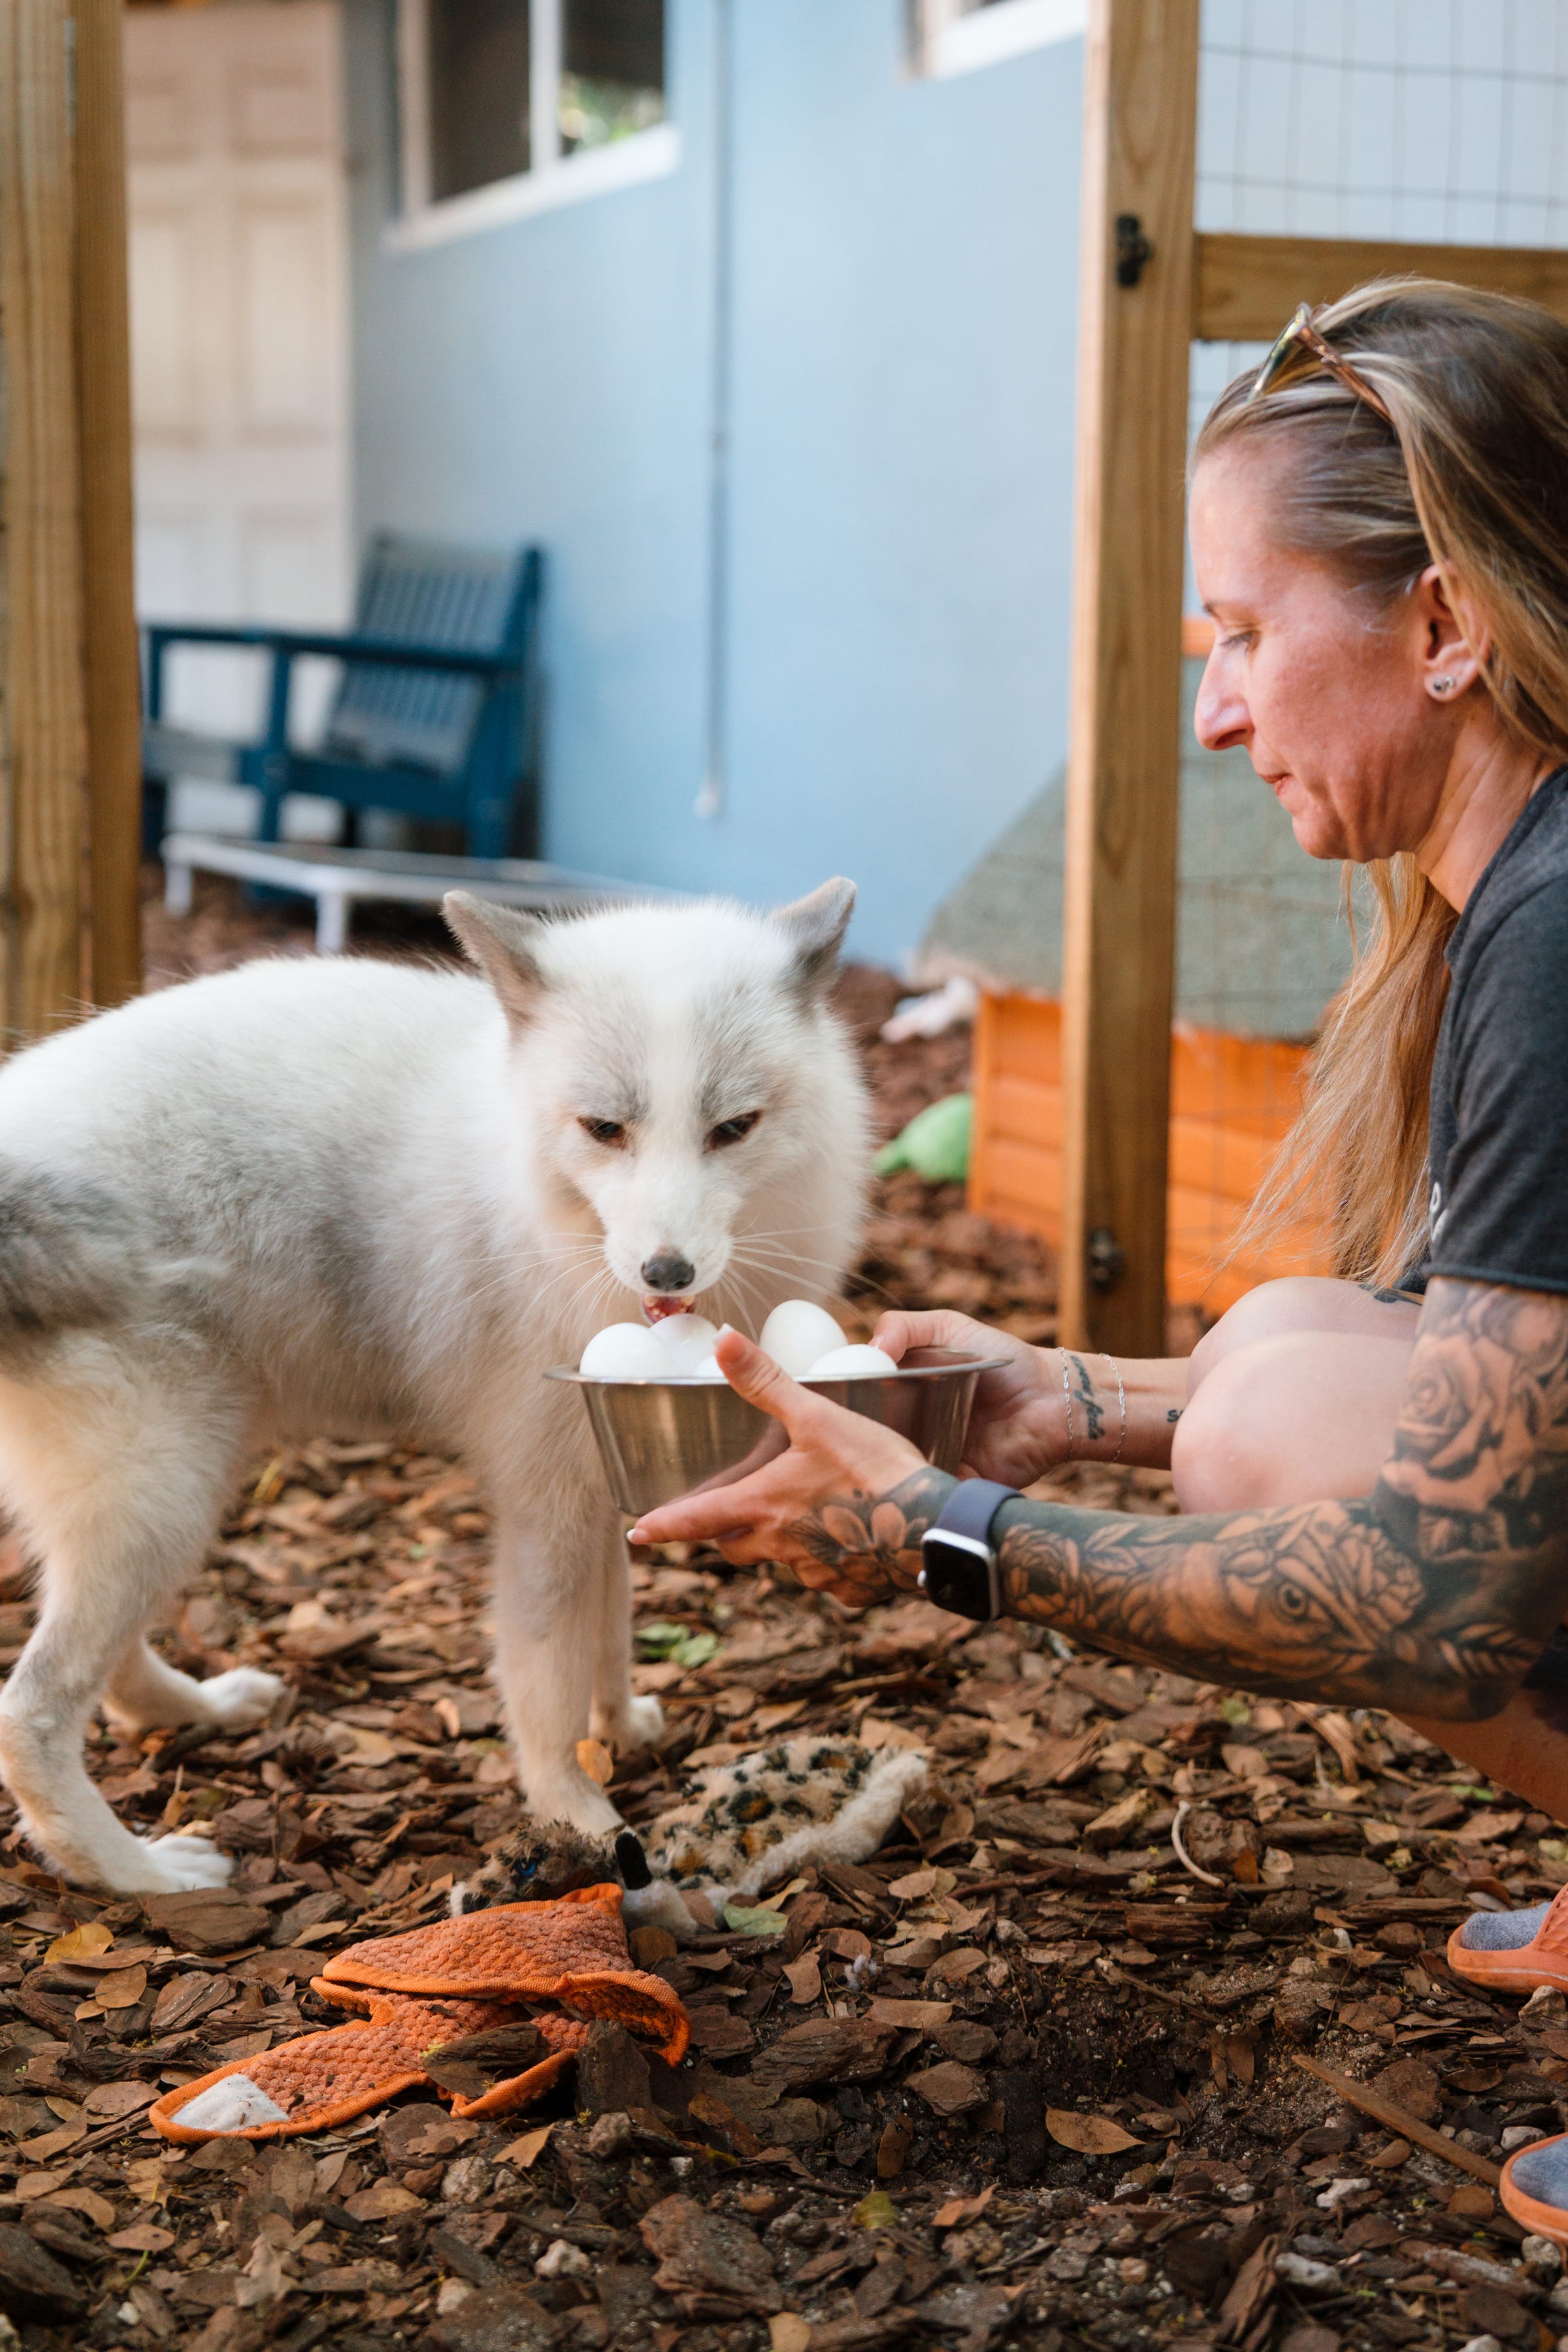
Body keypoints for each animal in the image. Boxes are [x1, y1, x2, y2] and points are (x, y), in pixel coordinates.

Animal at [0, 880, 870, 1893]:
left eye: (733, 1129)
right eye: (604, 1129)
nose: (667, 1272)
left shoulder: (597, 1479)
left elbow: (611, 1626)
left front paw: (619, 1724)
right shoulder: (544, 1501)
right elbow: (547, 1678)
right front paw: (580, 1815)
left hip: (168, 1497)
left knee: (111, 1667)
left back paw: (197, 1712)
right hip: (165, 1495)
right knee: (33, 1711)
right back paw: (142, 1877)